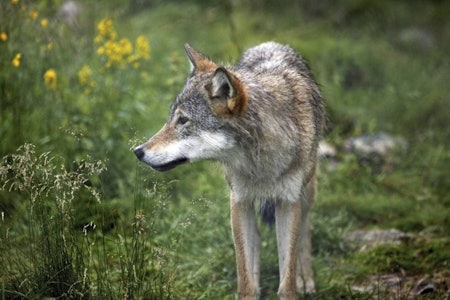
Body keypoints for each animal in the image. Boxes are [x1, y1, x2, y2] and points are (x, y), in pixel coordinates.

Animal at [134, 42, 324, 300]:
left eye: (183, 120)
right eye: (171, 118)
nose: (138, 151)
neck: (260, 162)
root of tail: (270, 43)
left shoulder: (288, 202)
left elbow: (287, 281)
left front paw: (296, 282)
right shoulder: (239, 201)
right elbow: (244, 278)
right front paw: (251, 287)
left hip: (306, 193)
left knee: (305, 229)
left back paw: (306, 279)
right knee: (255, 241)